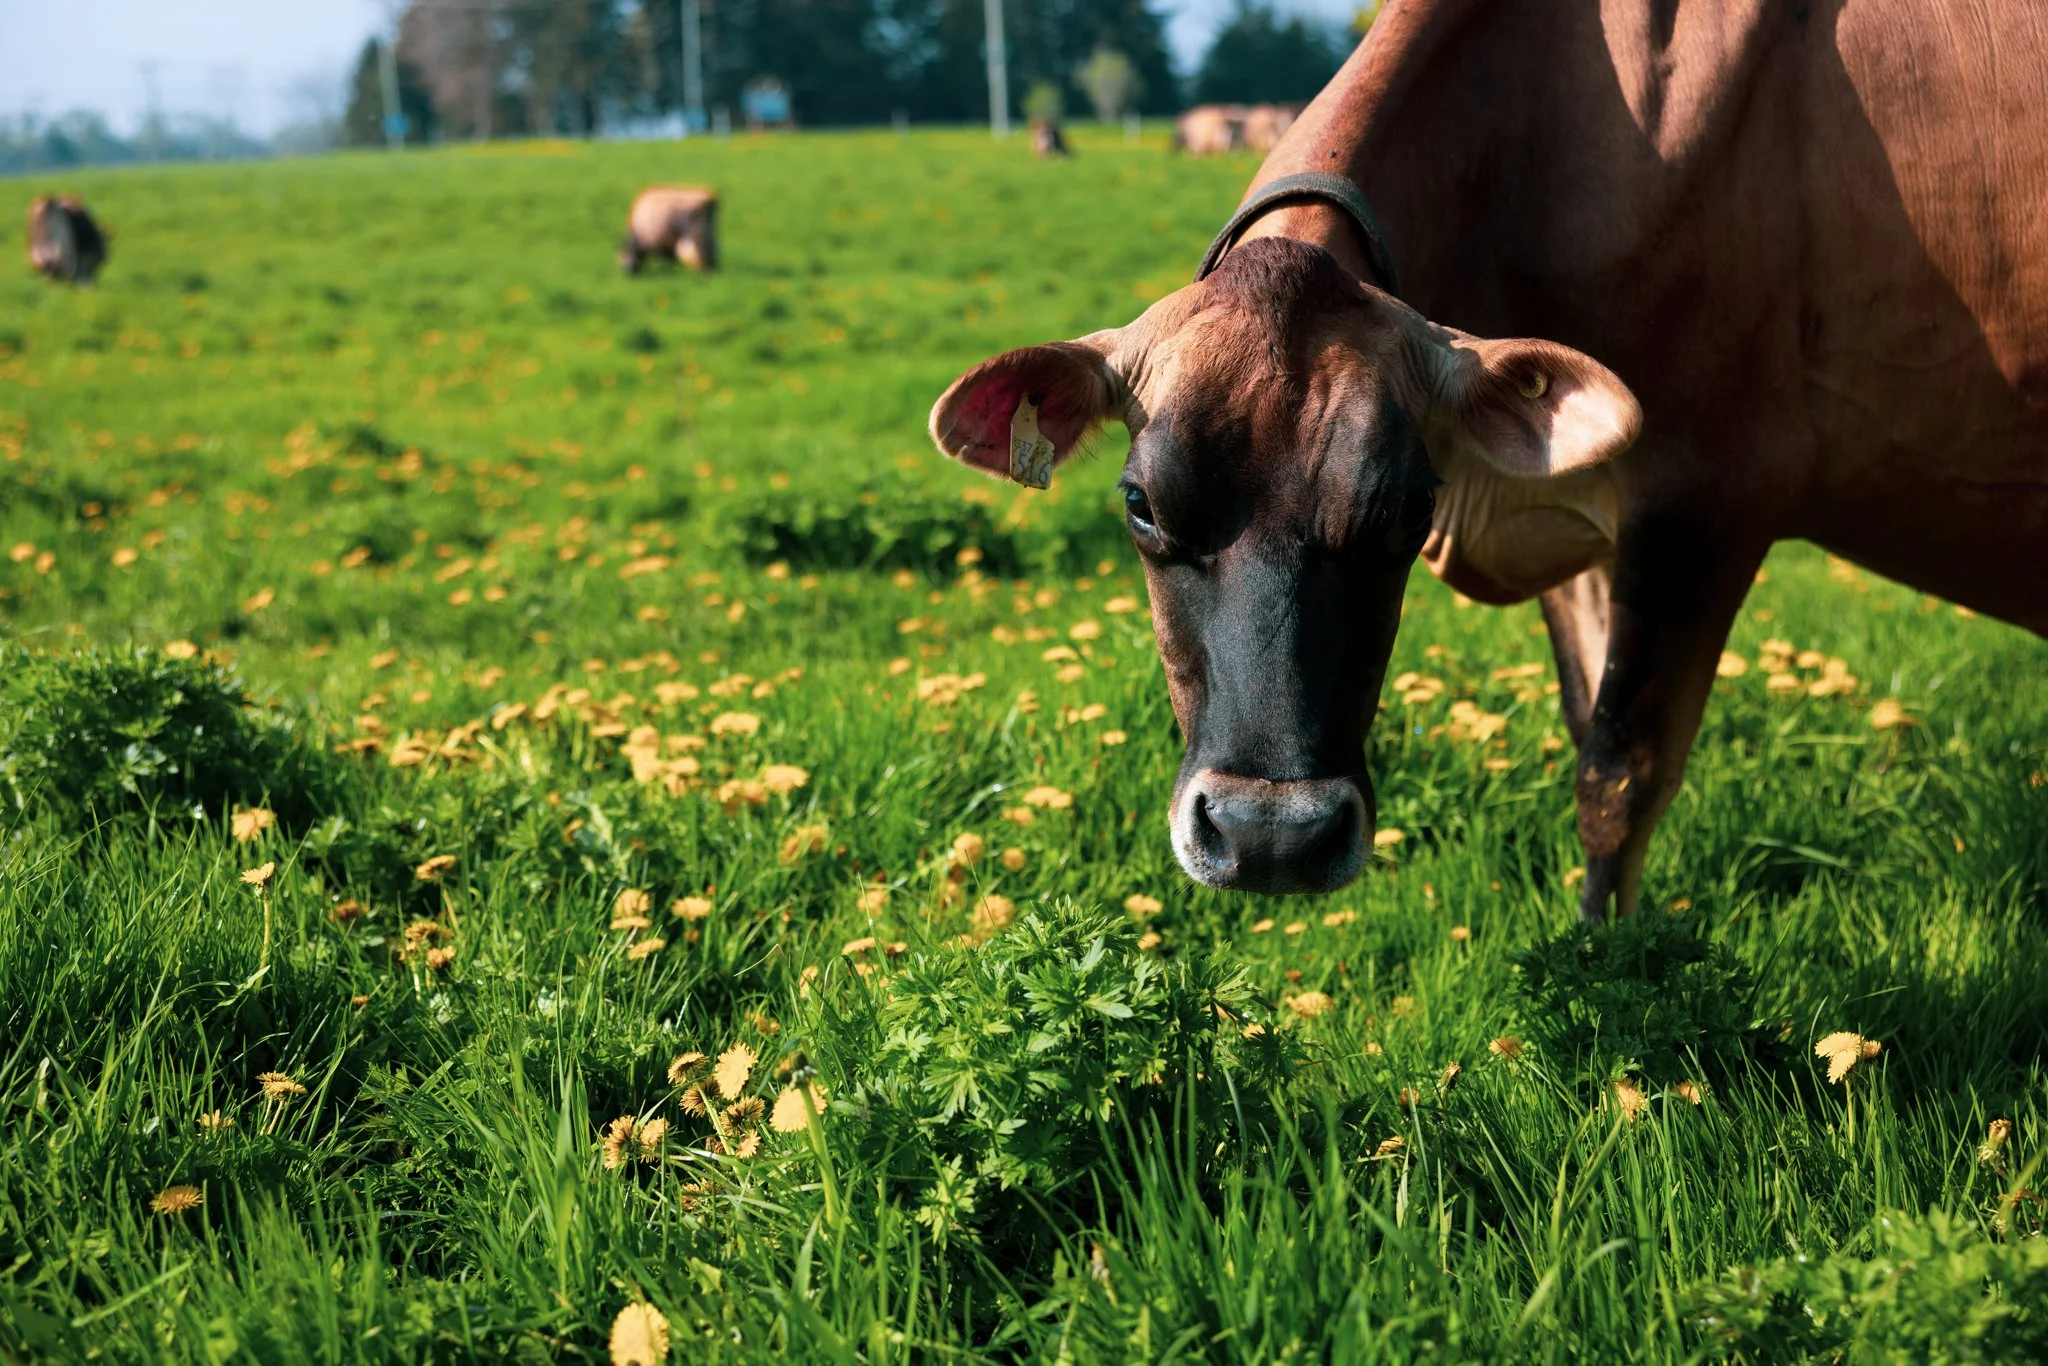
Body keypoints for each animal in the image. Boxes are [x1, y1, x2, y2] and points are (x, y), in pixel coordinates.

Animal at [930, 0, 2048, 918]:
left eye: (1405, 507)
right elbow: (1584, 720)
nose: (1271, 838)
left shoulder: (1707, 496)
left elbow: (1618, 775)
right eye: (1140, 504)